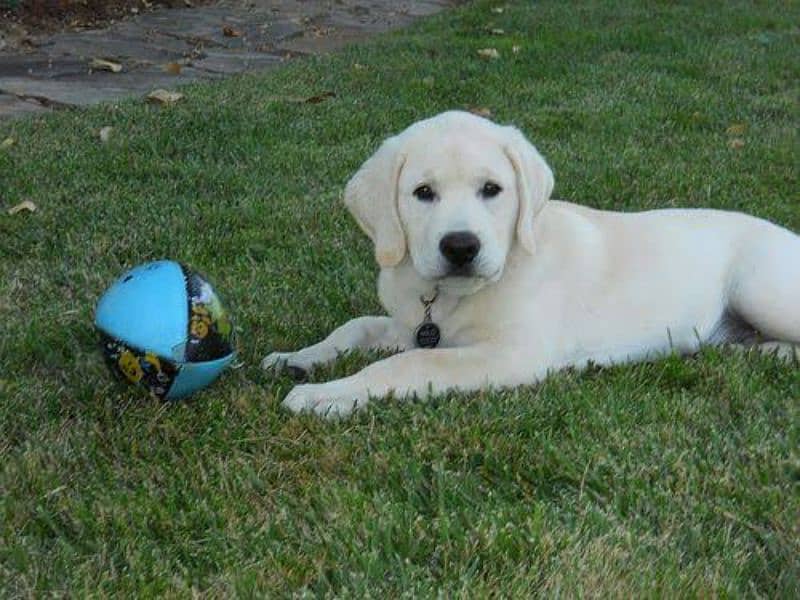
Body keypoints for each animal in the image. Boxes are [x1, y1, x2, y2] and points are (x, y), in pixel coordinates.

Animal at [266, 110, 800, 414]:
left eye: (491, 190)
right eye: (422, 193)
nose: (460, 247)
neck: (456, 297)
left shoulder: (512, 354)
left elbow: (411, 363)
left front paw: (329, 395)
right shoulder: (411, 324)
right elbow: (356, 327)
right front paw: (296, 358)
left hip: (759, 287)